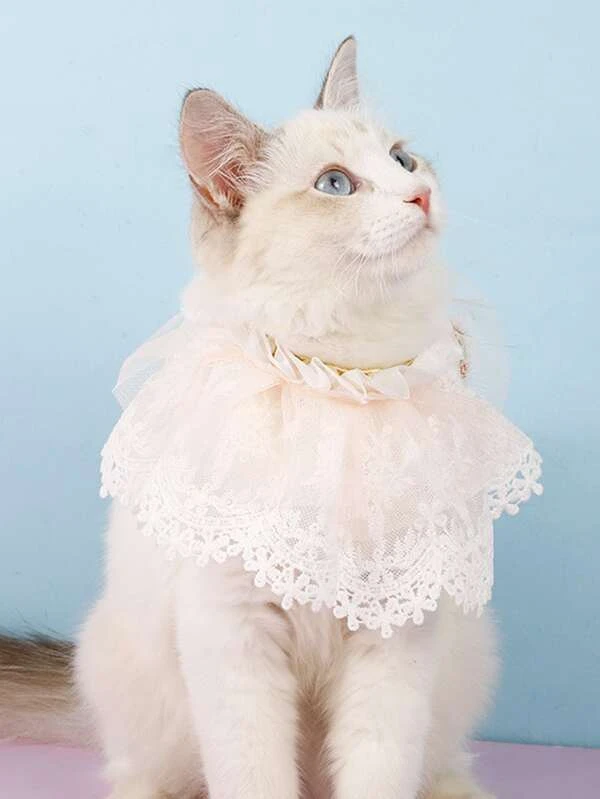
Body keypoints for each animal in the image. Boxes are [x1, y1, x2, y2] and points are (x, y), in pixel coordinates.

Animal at [1, 37, 499, 799]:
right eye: (335, 185)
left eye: (403, 160)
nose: (420, 195)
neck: (336, 385)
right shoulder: (234, 634)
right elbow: (254, 771)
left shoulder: (395, 633)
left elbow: (379, 766)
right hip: (131, 677)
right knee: (138, 769)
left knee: (436, 764)